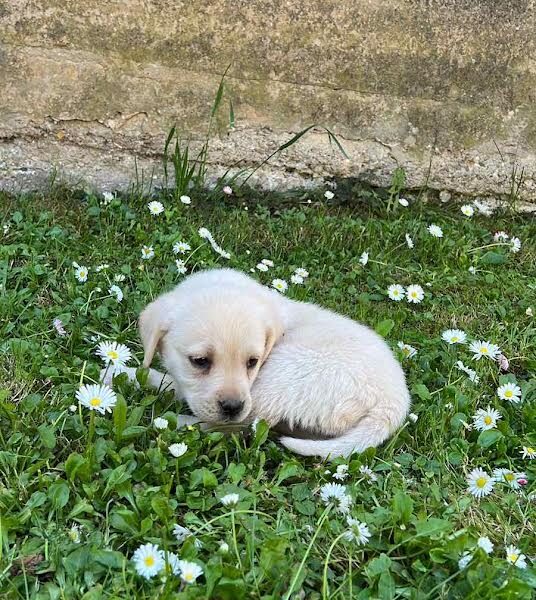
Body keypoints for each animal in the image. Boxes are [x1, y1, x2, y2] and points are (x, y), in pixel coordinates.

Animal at [108, 270, 410, 458]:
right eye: (200, 361)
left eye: (252, 362)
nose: (232, 406)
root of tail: (393, 404)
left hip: (283, 373)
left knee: (239, 425)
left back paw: (167, 420)